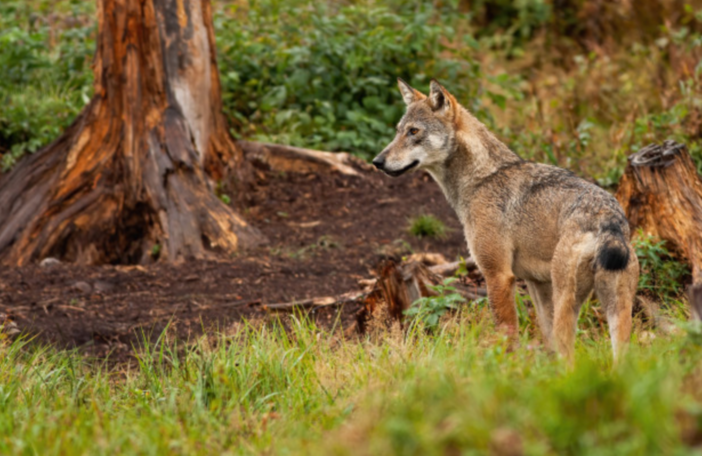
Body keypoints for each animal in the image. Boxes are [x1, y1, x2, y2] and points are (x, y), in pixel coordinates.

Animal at [373, 79, 639, 362]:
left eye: (413, 131)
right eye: (398, 132)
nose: (377, 161)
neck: (480, 180)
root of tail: (609, 219)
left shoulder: (497, 275)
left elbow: (507, 337)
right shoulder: (537, 283)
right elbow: (546, 340)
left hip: (569, 299)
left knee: (570, 357)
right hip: (617, 311)